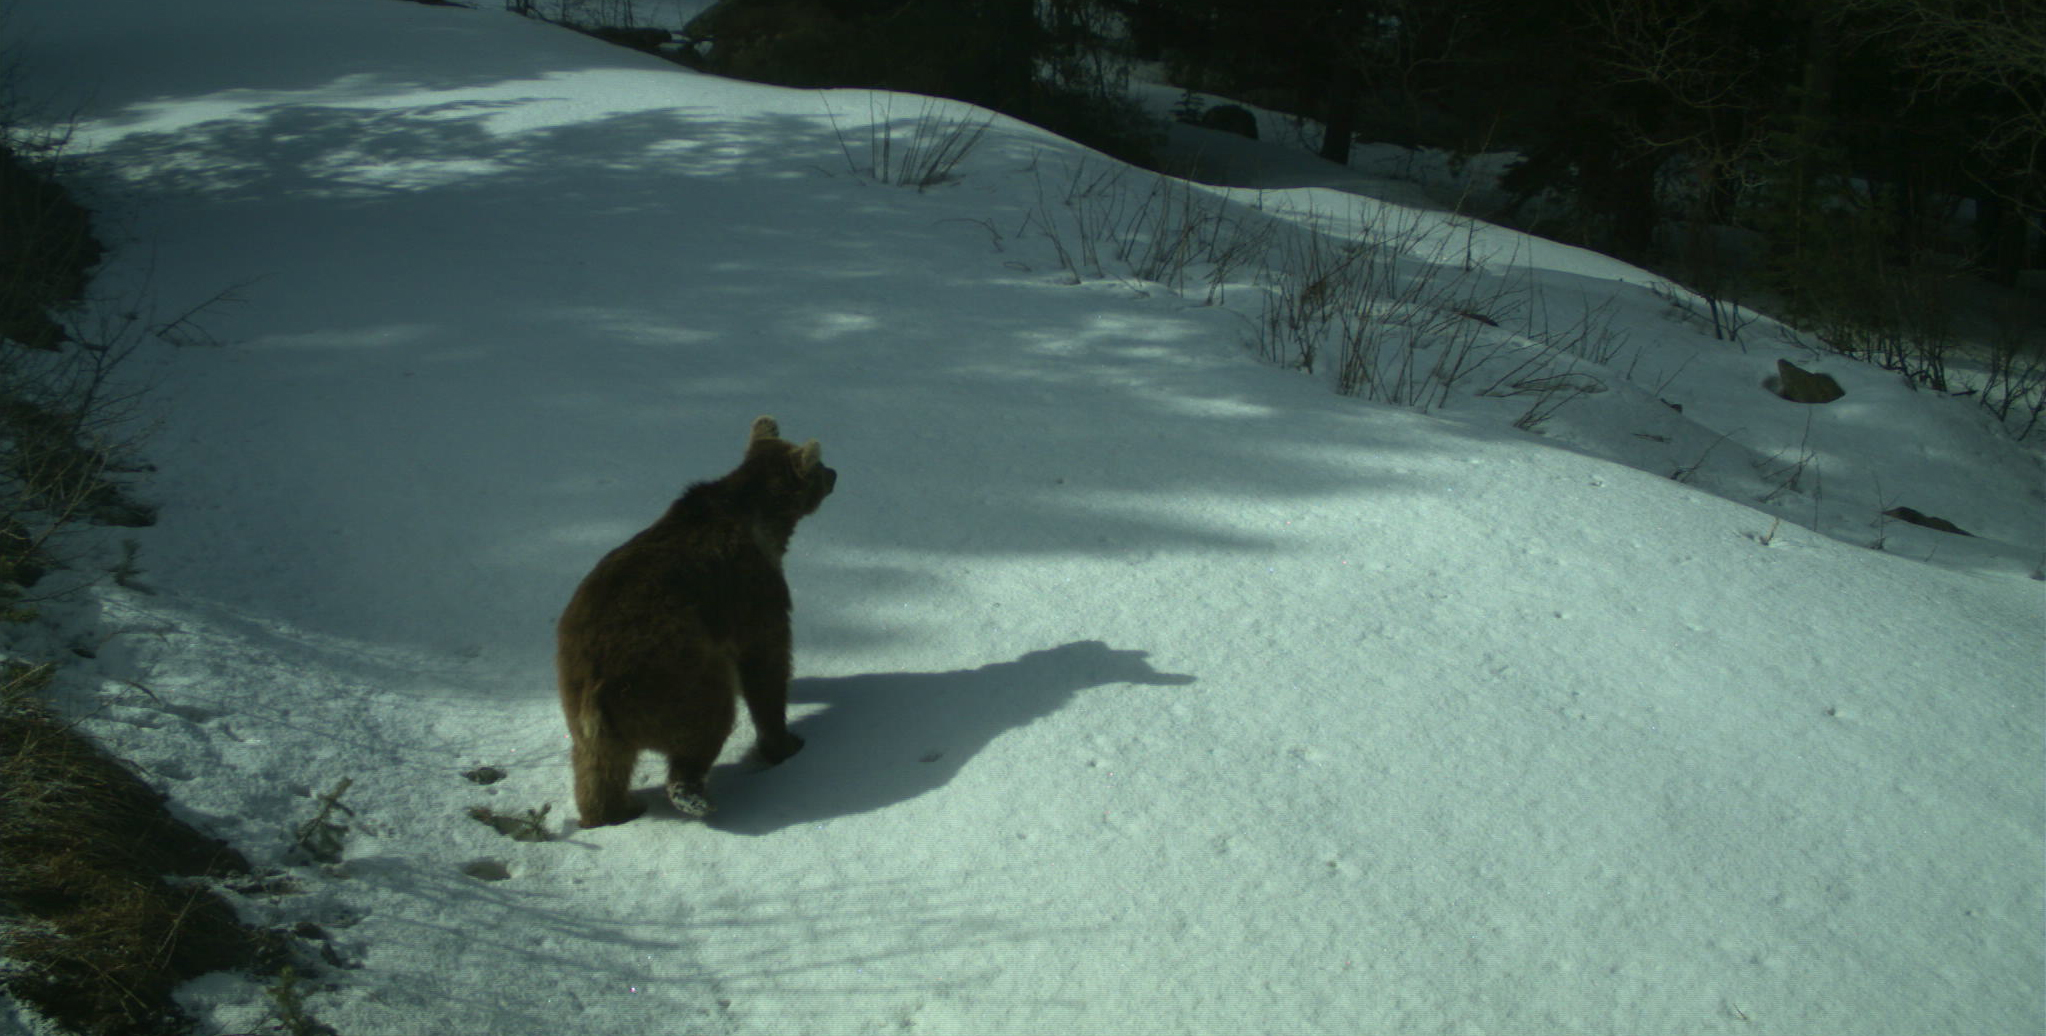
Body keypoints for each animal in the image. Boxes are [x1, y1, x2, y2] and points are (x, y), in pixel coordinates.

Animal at [556, 413, 834, 827]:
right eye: (818, 465)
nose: (835, 473)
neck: (765, 522)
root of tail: (595, 685)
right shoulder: (752, 592)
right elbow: (766, 662)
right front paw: (785, 742)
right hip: (673, 676)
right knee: (706, 721)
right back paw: (693, 795)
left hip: (583, 703)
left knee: (598, 768)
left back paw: (614, 812)